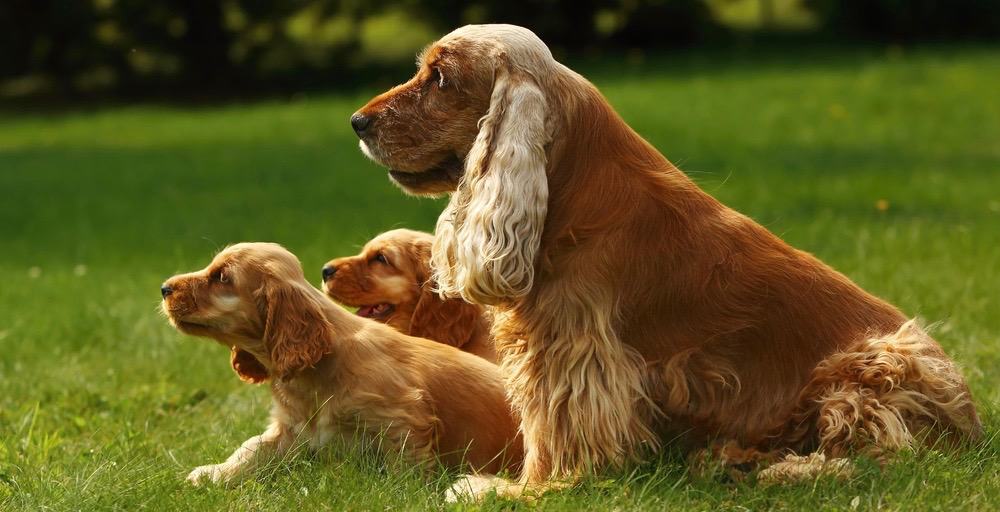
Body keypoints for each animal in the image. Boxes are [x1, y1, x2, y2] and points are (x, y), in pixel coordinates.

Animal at [354, 25, 984, 500]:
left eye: (439, 78)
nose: (358, 122)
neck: (566, 190)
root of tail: (974, 430)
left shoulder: (573, 353)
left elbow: (554, 434)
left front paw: (523, 490)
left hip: (876, 366)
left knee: (881, 460)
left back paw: (779, 470)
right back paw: (730, 459)